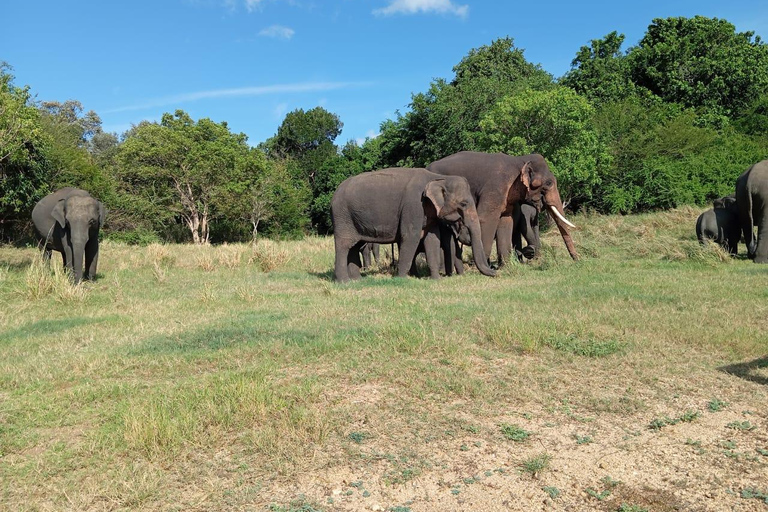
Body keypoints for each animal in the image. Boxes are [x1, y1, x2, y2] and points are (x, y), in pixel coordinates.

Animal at [332, 168, 496, 282]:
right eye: (463, 203)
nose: (495, 271)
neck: (437, 178)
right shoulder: (414, 205)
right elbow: (411, 236)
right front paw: (401, 279)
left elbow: (432, 239)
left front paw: (436, 279)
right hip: (342, 216)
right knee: (344, 245)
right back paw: (344, 282)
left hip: (354, 219)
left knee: (354, 246)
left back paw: (357, 280)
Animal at [428, 151, 580, 264]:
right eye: (548, 183)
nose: (578, 260)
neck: (520, 160)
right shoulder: (495, 188)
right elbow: (486, 219)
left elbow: (506, 221)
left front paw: (506, 266)